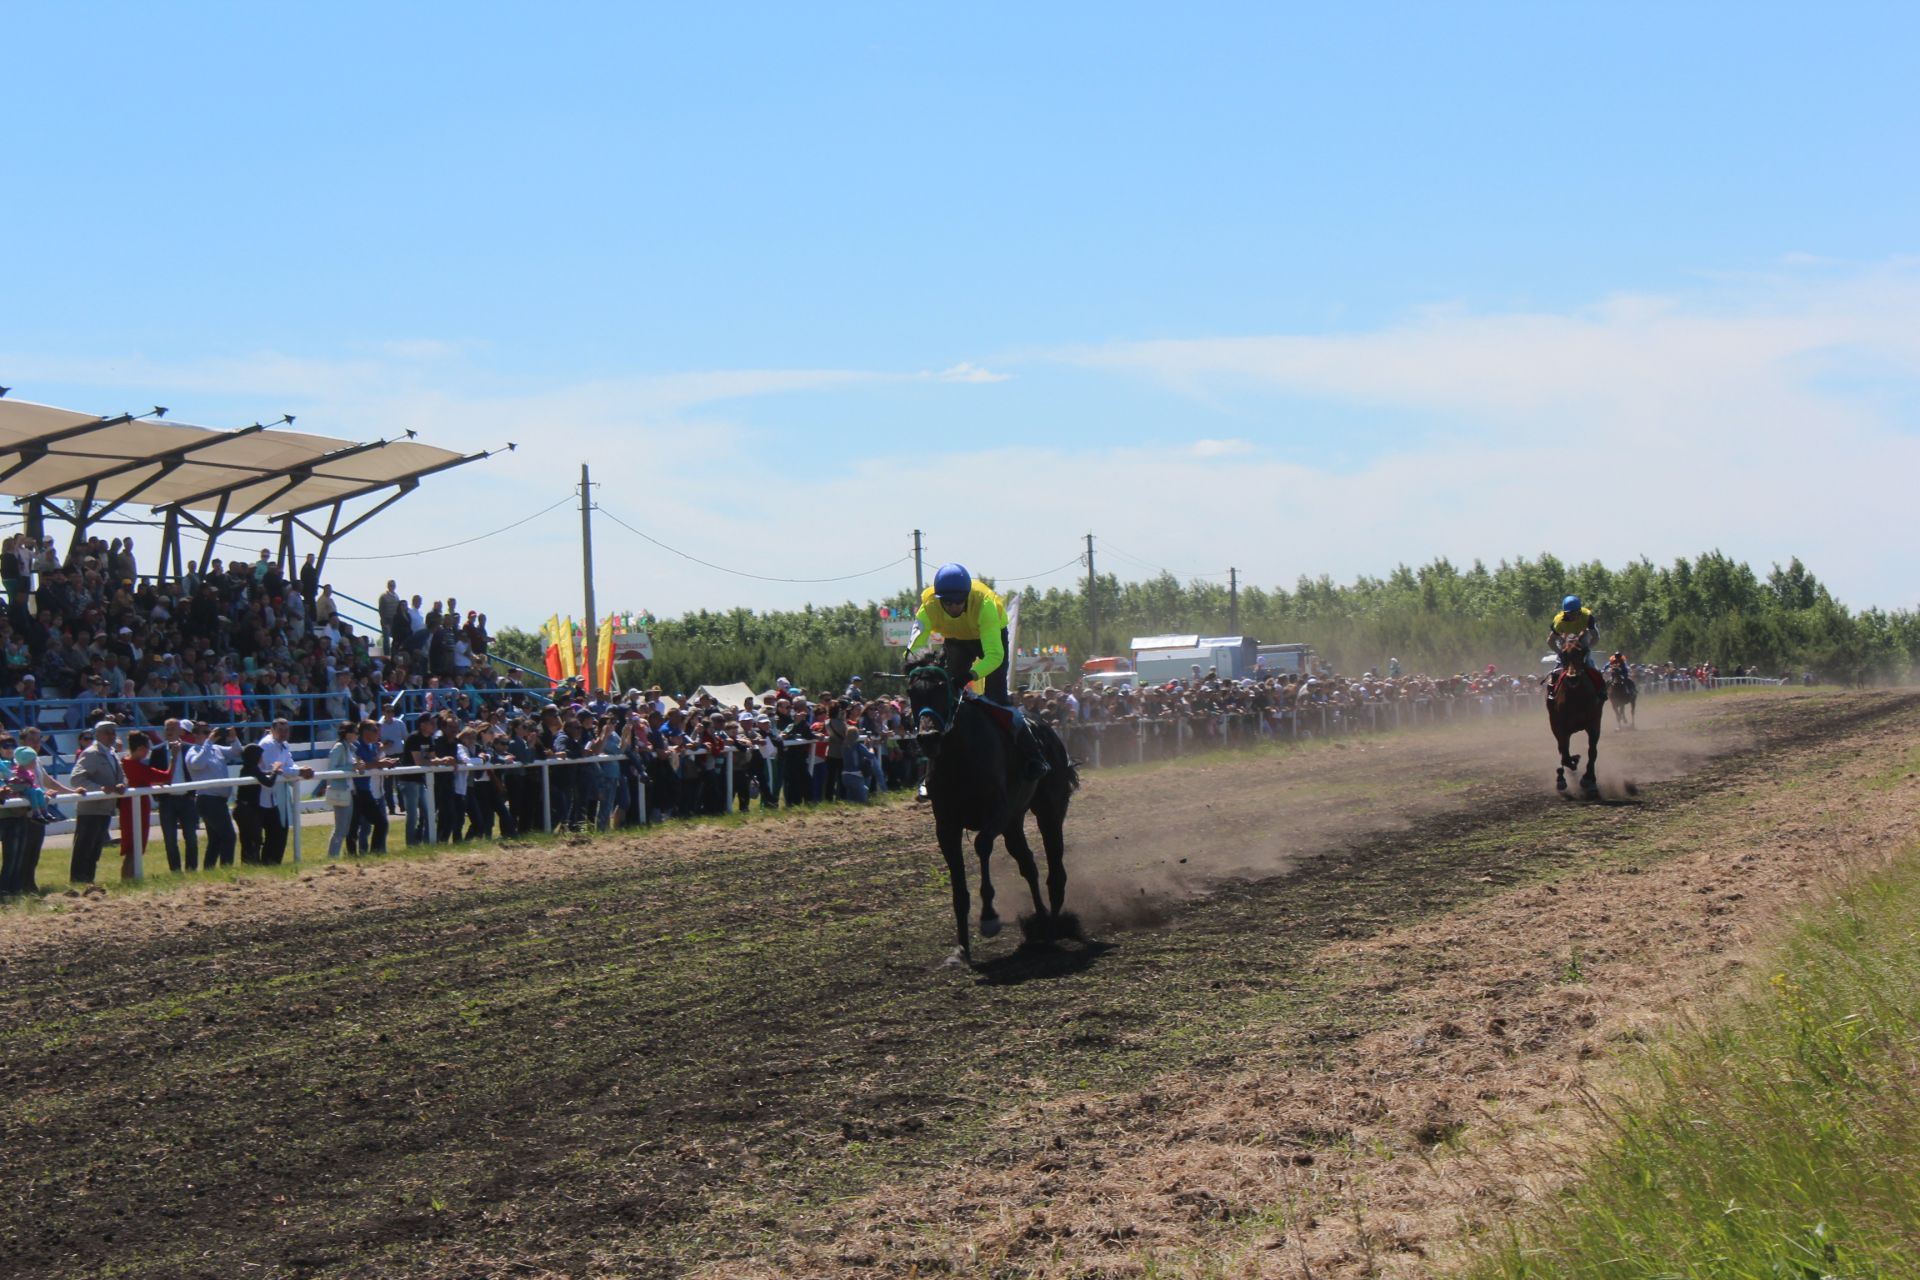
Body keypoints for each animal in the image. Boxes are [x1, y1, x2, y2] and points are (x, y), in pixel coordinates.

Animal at [902, 667, 1075, 967]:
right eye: (912, 692)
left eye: (942, 688)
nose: (929, 737)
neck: (959, 757)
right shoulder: (946, 826)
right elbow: (959, 888)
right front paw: (962, 950)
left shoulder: (996, 814)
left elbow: (981, 845)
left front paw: (989, 918)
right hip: (1014, 824)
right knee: (1028, 864)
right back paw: (1041, 921)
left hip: (1048, 812)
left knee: (1055, 870)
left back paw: (1052, 932)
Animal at [1543, 640, 1605, 802]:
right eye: (1563, 653)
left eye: (1581, 652)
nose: (1573, 677)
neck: (1576, 698)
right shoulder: (1561, 729)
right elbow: (1565, 756)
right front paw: (1572, 764)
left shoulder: (1594, 725)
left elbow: (1592, 752)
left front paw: (1588, 780)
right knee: (1562, 752)